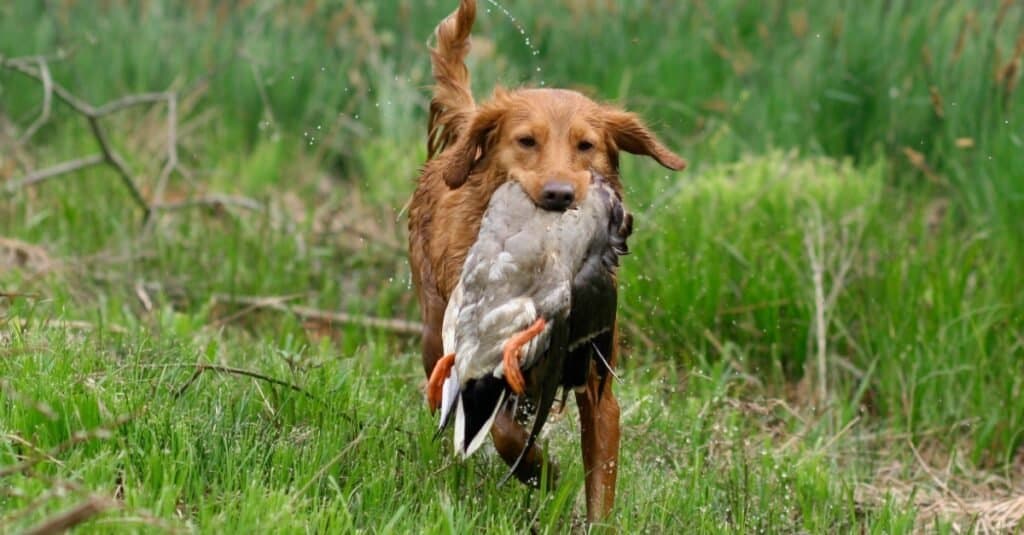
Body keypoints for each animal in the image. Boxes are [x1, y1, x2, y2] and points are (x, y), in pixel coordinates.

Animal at [403, 0, 684, 518]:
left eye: (585, 145)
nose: (559, 194)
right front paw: (540, 470)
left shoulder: (597, 383)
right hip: (435, 330)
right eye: (526, 141)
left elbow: (600, 480)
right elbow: (503, 431)